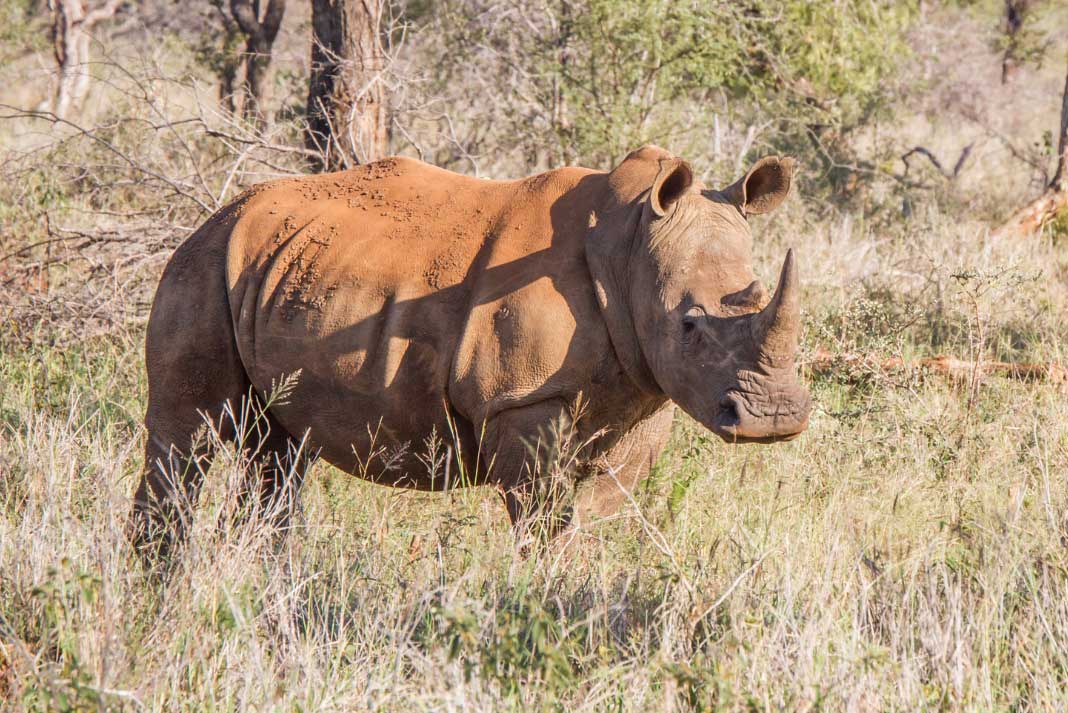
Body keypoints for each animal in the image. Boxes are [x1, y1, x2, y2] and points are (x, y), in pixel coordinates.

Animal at [131, 145, 811, 556]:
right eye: (690, 324)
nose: (774, 419)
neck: (630, 252)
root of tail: (221, 211)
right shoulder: (522, 400)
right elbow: (543, 522)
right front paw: (548, 603)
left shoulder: (643, 392)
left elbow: (600, 515)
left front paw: (584, 597)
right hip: (203, 265)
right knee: (184, 436)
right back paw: (158, 592)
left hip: (279, 266)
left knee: (278, 451)